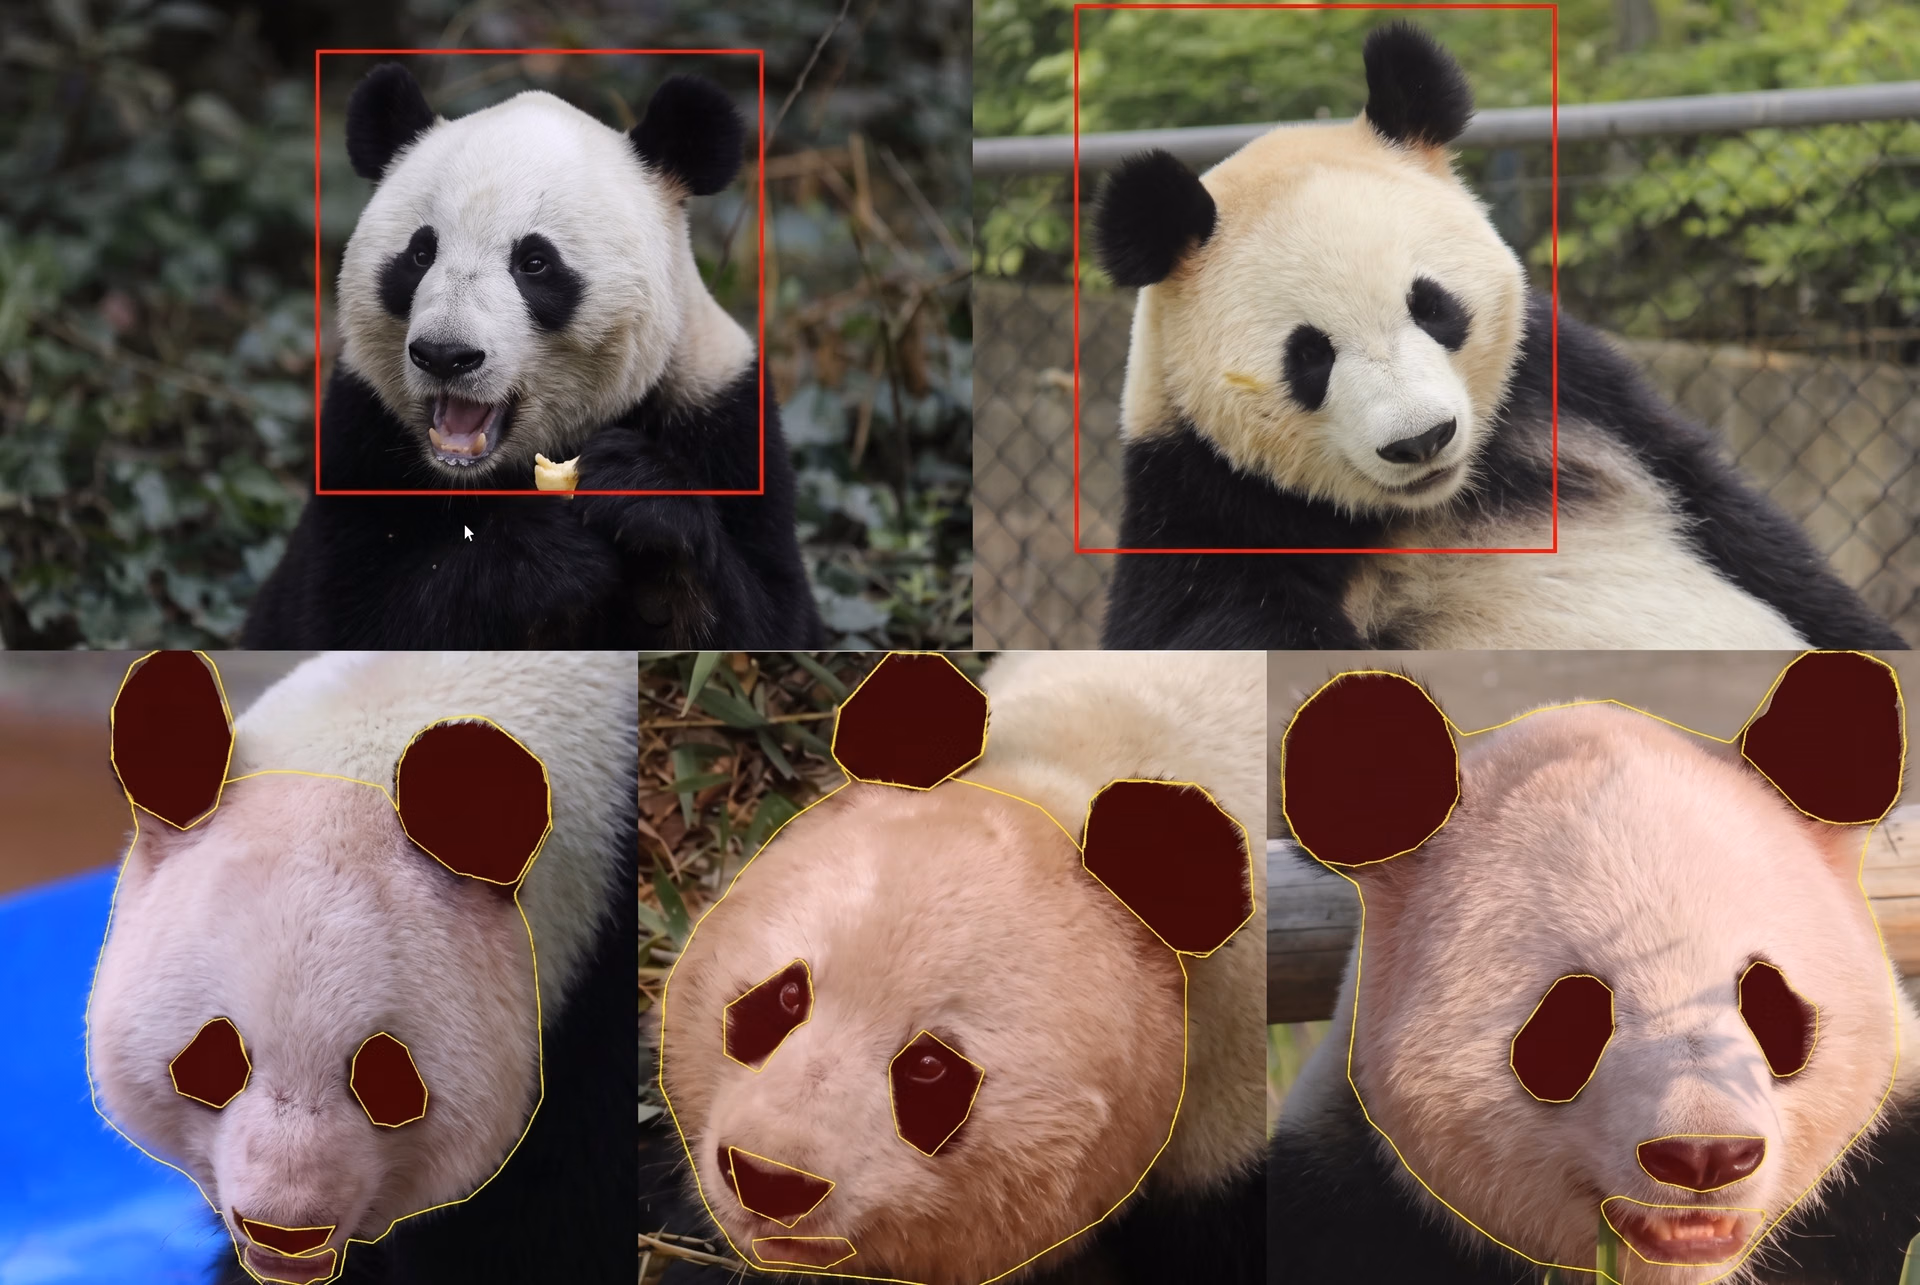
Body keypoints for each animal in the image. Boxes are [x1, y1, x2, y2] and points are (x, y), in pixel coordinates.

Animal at [242, 63, 824, 649]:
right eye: (420, 253)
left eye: (535, 263)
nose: (445, 355)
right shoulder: (359, 436)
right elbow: (341, 618)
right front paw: (545, 554)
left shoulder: (720, 411)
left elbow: (773, 619)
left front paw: (641, 494)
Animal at [1092, 22, 1908, 652]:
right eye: (1309, 356)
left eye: (1433, 307)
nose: (1421, 440)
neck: (1436, 502)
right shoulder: (1208, 513)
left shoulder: (1571, 393)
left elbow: (1733, 517)